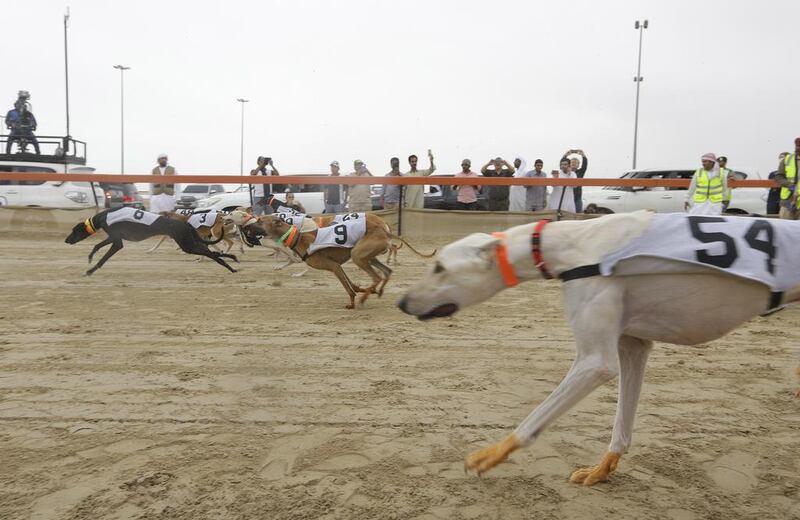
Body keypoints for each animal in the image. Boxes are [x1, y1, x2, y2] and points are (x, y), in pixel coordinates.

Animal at [64, 206, 238, 276]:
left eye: (73, 230)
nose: (66, 240)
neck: (104, 216)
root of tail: (185, 223)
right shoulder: (115, 239)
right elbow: (99, 248)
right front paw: (90, 261)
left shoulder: (116, 240)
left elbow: (101, 252)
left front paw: (90, 268)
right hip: (192, 242)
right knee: (212, 252)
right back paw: (231, 260)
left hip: (187, 244)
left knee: (212, 253)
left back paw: (230, 265)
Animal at [252, 212, 438, 308]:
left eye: (261, 220)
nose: (248, 226)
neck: (298, 237)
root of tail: (384, 230)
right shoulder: (338, 267)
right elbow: (353, 285)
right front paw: (364, 291)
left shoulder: (333, 266)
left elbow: (349, 289)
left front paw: (353, 302)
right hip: (368, 256)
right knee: (386, 272)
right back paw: (377, 291)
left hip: (358, 255)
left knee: (377, 276)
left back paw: (365, 298)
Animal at [396, 209, 796, 486]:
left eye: (439, 266)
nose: (401, 302)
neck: (574, 243)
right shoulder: (633, 346)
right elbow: (622, 422)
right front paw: (602, 469)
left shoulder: (595, 362)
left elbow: (533, 419)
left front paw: (490, 455)